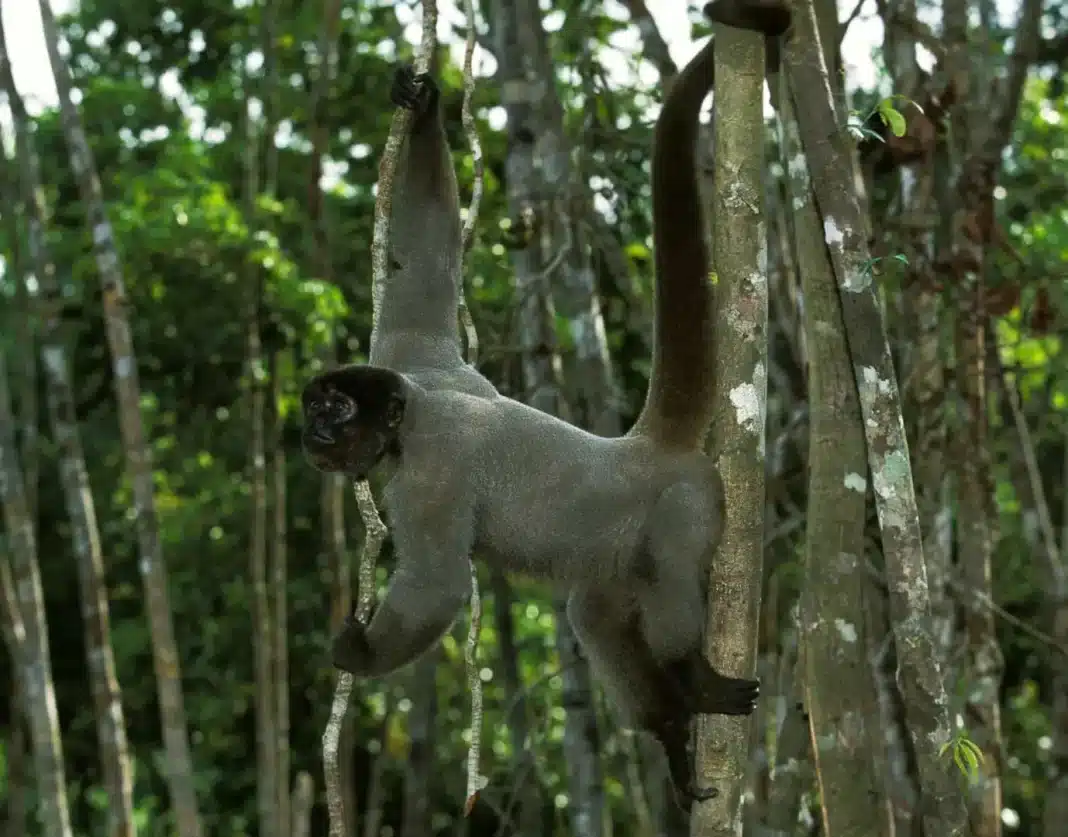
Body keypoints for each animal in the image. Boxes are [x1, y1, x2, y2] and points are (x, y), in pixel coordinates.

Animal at [302, 0, 791, 807]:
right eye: (315, 404)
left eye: (337, 410)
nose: (311, 427)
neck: (411, 417)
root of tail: (643, 447)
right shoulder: (413, 358)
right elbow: (426, 269)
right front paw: (423, 104)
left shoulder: (429, 475)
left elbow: (439, 583)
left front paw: (361, 655)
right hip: (615, 563)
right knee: (594, 615)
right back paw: (669, 731)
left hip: (689, 501)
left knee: (673, 577)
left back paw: (694, 679)